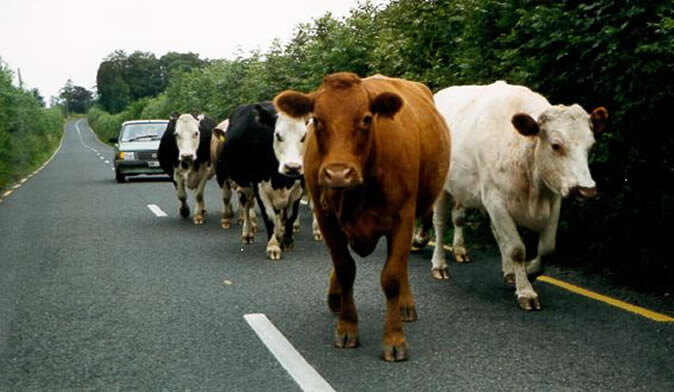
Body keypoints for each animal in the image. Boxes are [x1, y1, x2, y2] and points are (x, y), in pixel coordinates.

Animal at [213, 102, 302, 258]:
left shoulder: (297, 188)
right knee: (246, 205)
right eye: (278, 135)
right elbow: (269, 216)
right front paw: (273, 246)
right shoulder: (260, 187)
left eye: (304, 136)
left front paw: (287, 241)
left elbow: (291, 215)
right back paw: (247, 234)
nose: (293, 167)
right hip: (244, 185)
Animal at [272, 73, 452, 362]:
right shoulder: (327, 220)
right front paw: (347, 327)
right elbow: (345, 268)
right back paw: (336, 297)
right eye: (317, 120)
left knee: (401, 267)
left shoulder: (403, 219)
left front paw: (394, 338)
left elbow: (392, 277)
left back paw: (406, 304)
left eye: (367, 119)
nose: (338, 173)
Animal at [422, 81, 608, 310]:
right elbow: (517, 249)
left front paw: (529, 272)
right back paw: (439, 265)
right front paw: (526, 292)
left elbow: (547, 248)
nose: (586, 189)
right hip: (443, 187)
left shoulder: (553, 200)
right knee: (439, 224)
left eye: (590, 146)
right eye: (556, 145)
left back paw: (507, 271)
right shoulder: (495, 201)